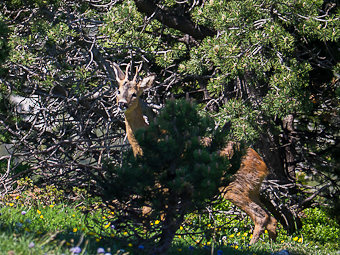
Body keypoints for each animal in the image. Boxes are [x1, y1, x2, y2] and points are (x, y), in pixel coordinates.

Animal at [111, 62, 276, 244]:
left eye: (134, 94)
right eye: (118, 91)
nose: (122, 104)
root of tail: (264, 166)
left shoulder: (164, 182)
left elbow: (158, 215)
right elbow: (147, 212)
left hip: (235, 186)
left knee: (261, 216)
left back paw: (250, 245)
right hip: (252, 189)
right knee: (272, 219)